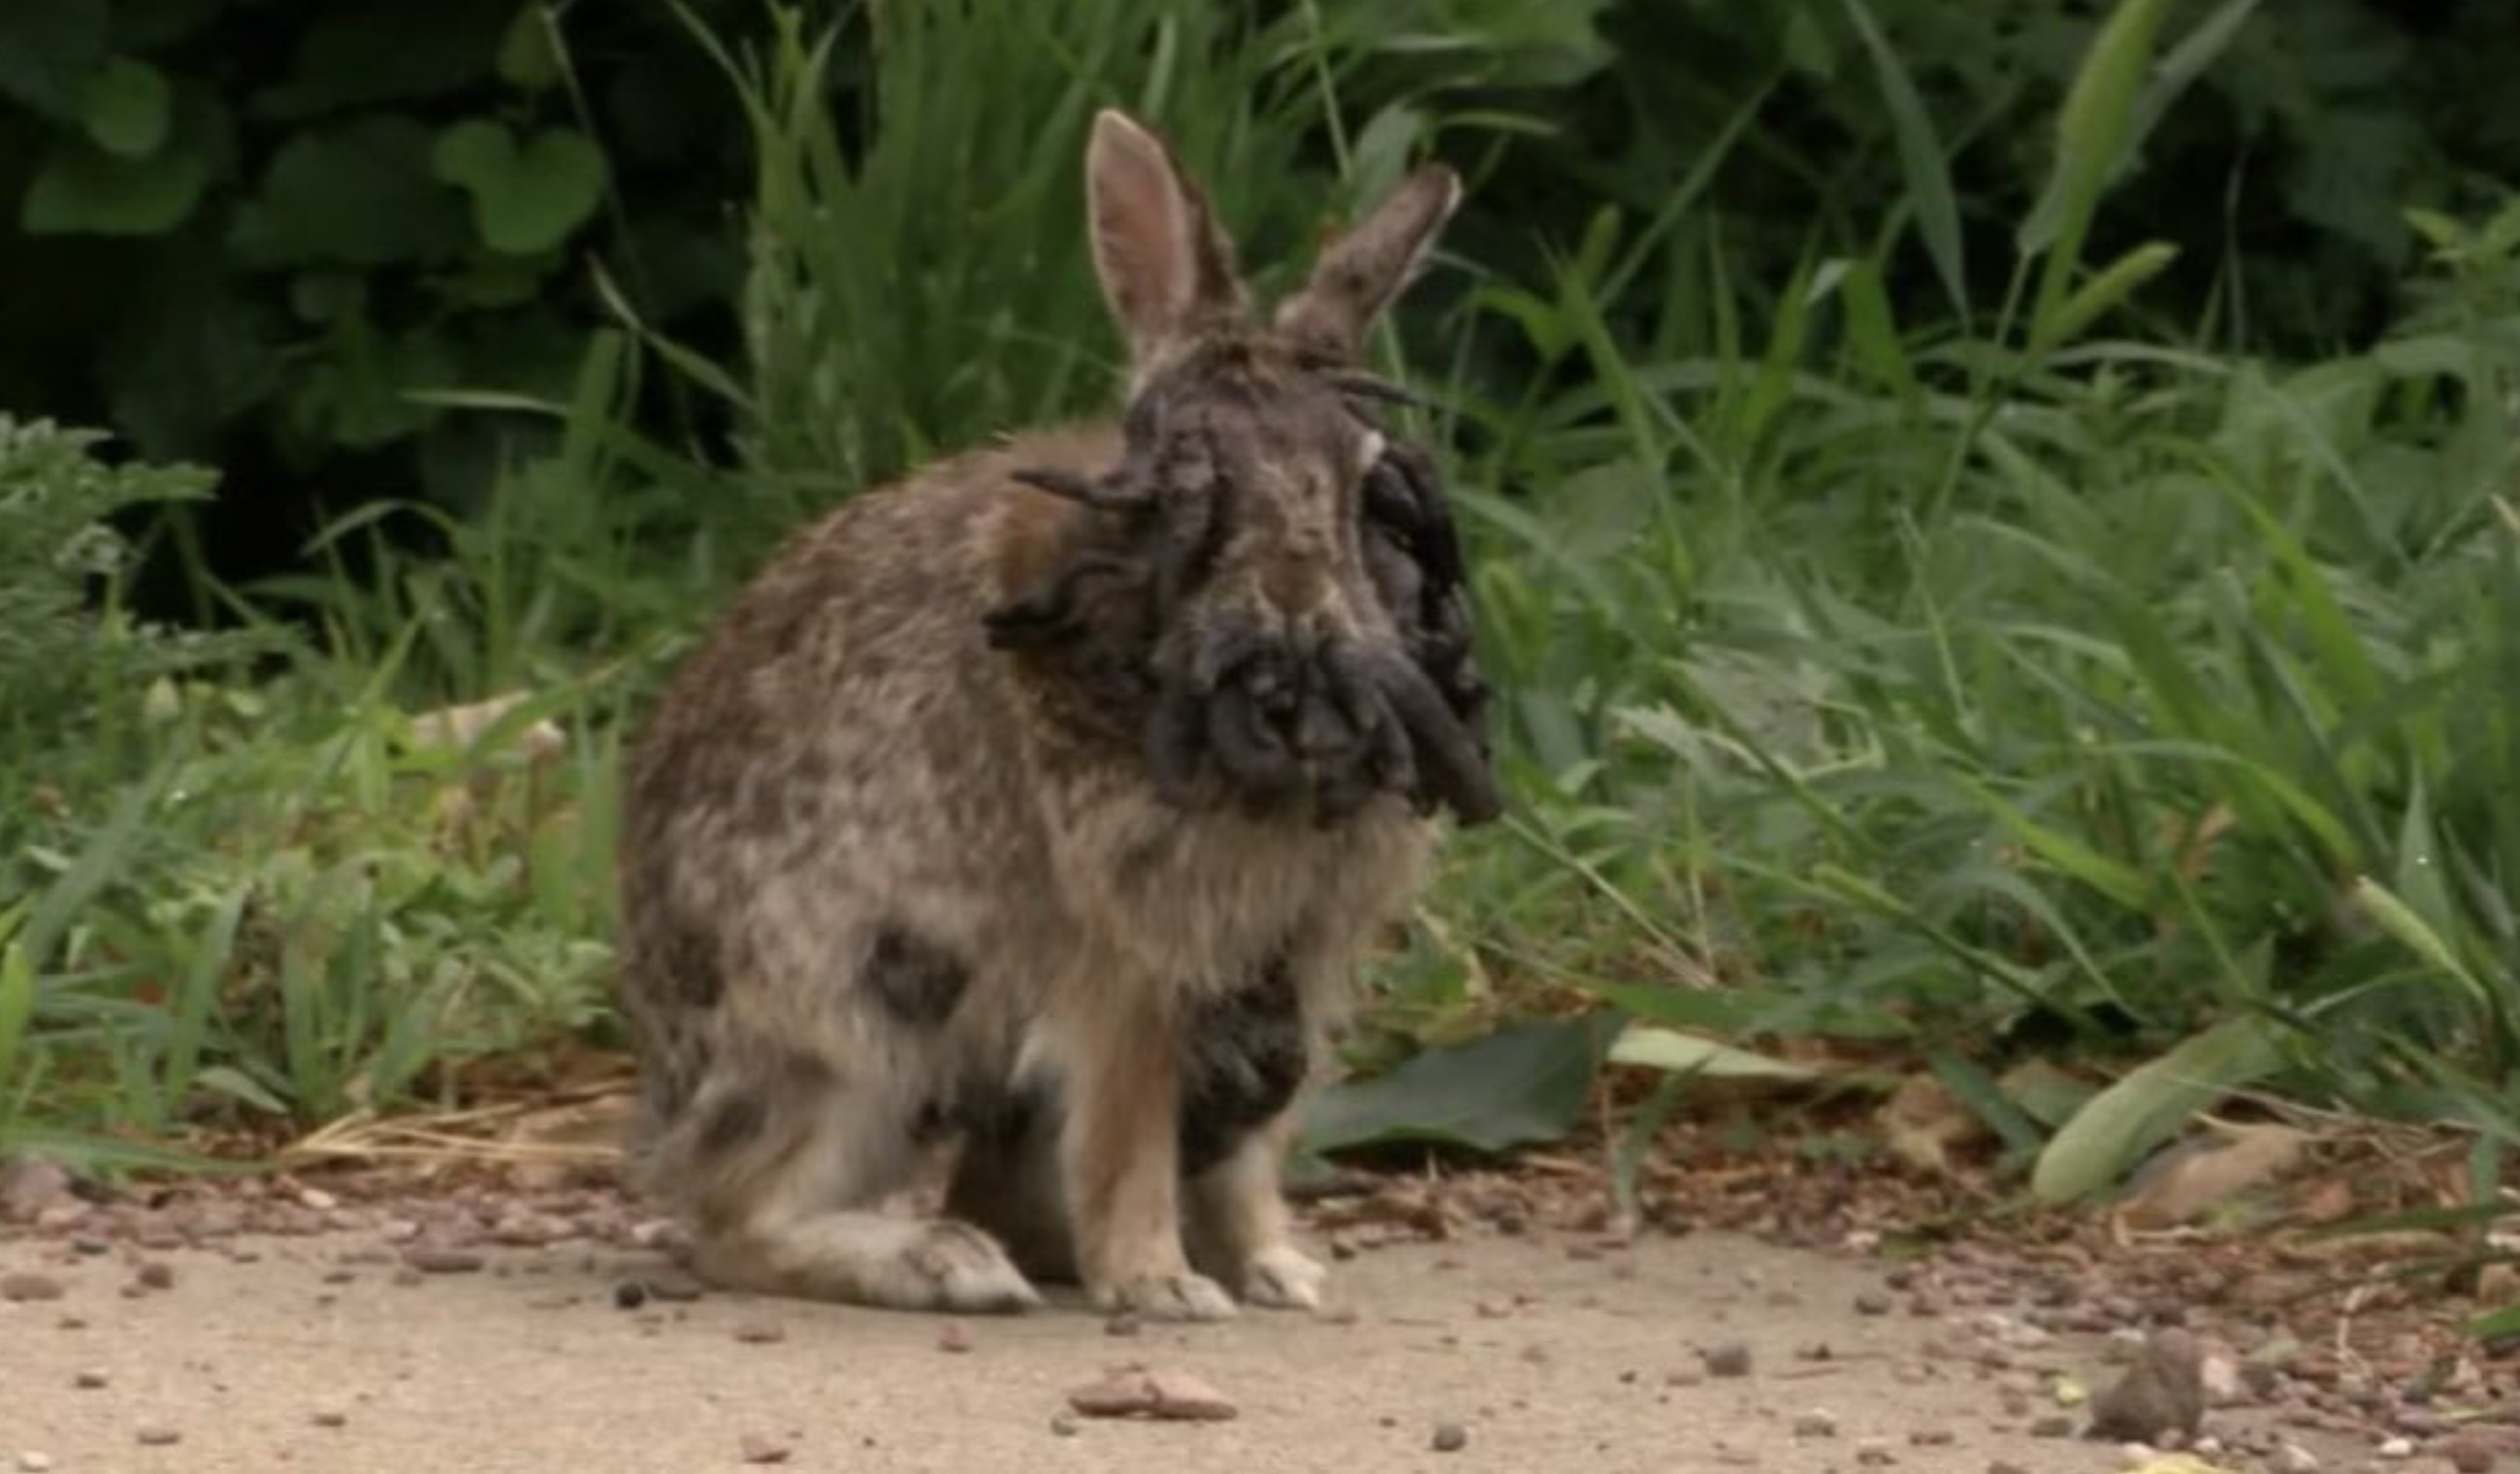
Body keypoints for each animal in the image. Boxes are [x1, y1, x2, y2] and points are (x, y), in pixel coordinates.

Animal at [614, 106, 1492, 1320]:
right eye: (1188, 484)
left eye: (1365, 478)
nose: (1295, 609)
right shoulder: (1125, 957)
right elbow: (1128, 1125)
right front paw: (1162, 1284)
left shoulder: (1293, 963)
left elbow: (1249, 1152)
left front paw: (1279, 1269)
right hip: (854, 1028)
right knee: (734, 1218)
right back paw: (947, 1262)